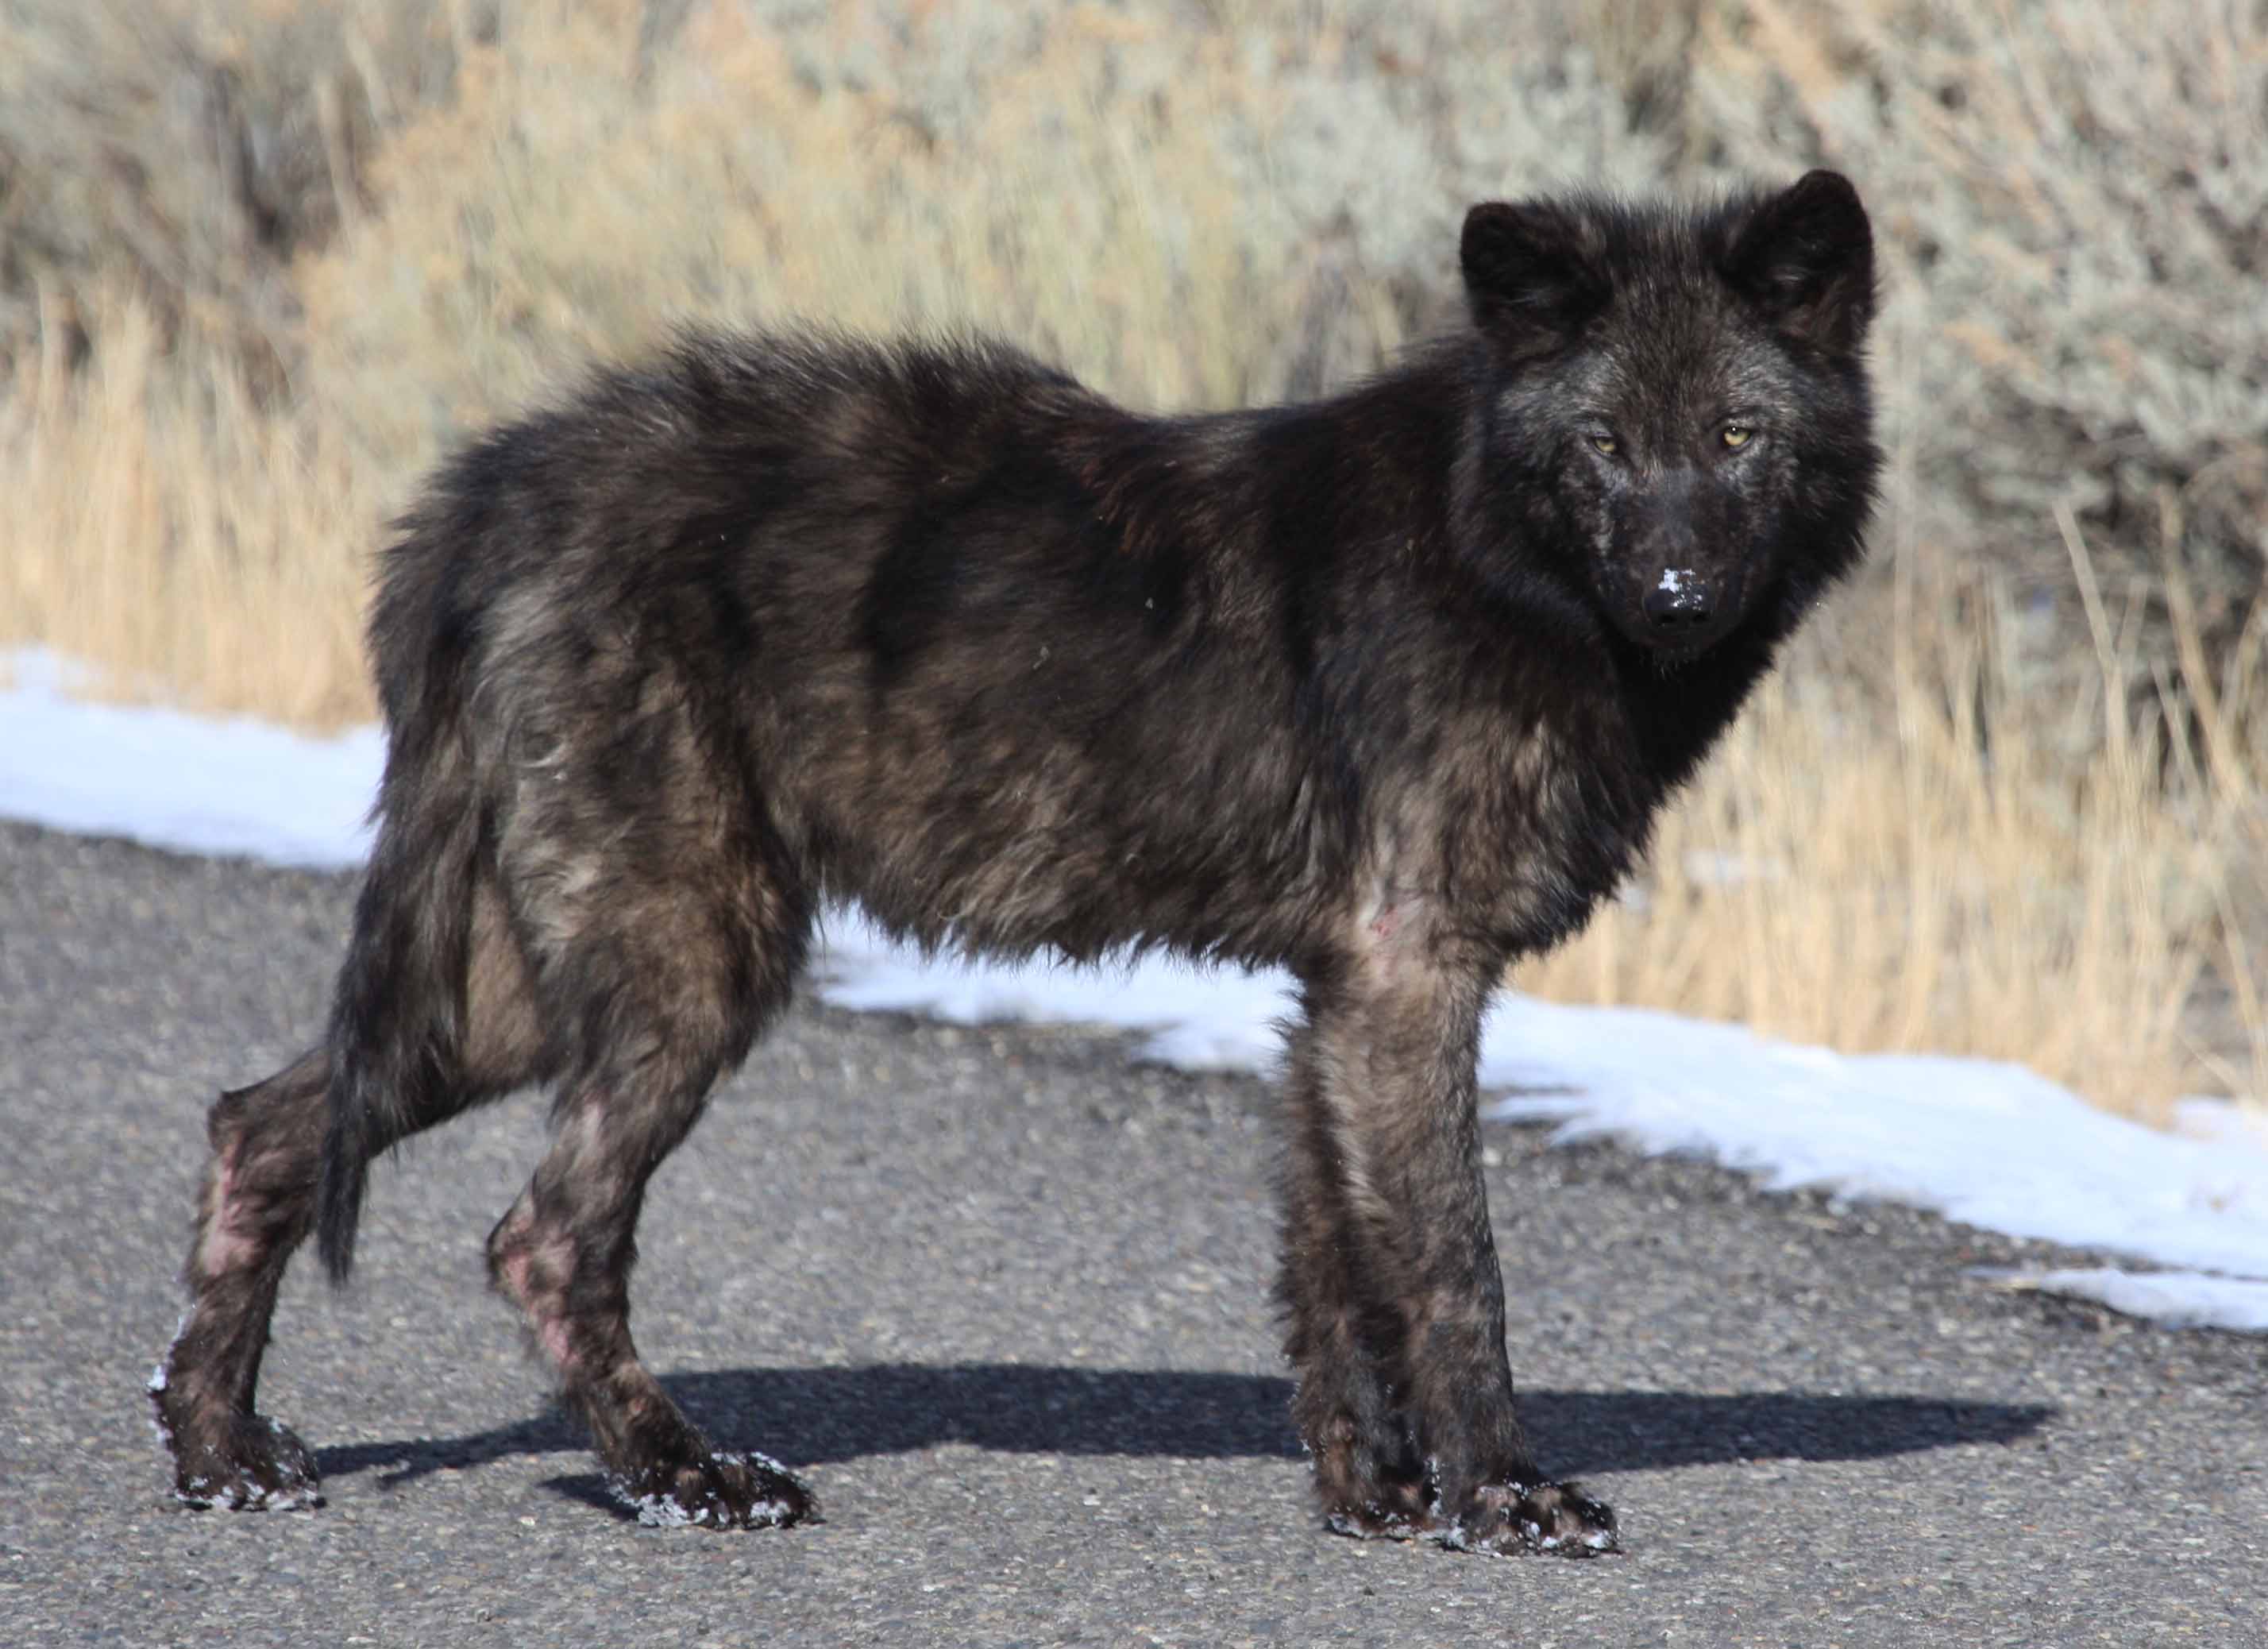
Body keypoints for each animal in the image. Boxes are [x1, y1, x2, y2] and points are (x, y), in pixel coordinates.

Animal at [146, 171, 1877, 1560]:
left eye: (1735, 436)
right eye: (1603, 442)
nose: (1674, 593)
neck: (1493, 544)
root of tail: (486, 496)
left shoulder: (1341, 994)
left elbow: (1335, 1277)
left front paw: (1376, 1503)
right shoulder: (1409, 975)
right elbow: (1453, 1271)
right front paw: (1505, 1498)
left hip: (523, 983)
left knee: (264, 1129)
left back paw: (219, 1455)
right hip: (687, 970)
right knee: (541, 1239)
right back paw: (688, 1478)